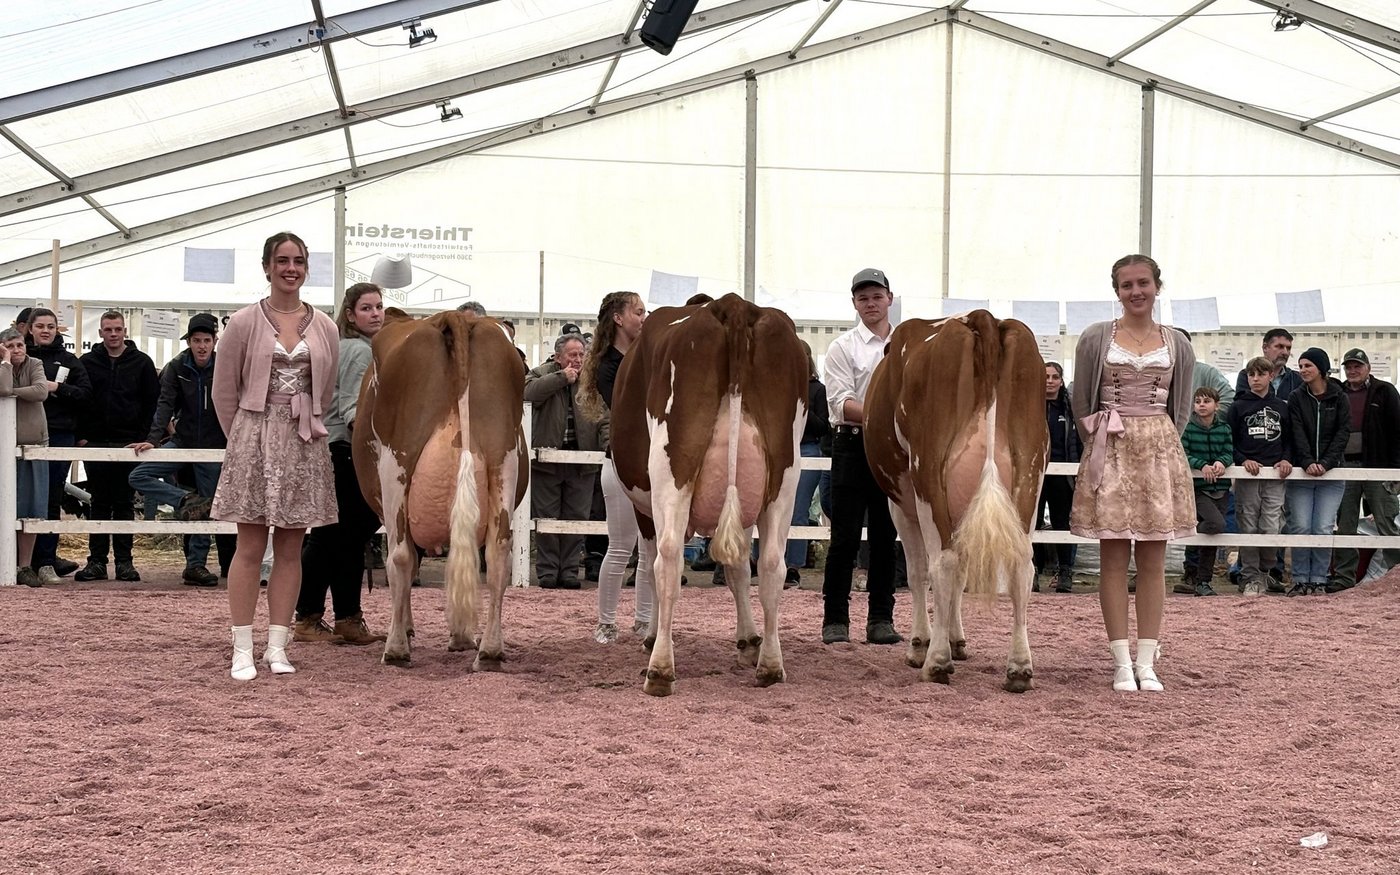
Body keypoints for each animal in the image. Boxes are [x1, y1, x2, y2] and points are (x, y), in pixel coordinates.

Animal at [352, 311, 528, 669]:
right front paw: (460, 637)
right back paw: (489, 650)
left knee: (400, 557)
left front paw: (407, 630)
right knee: (497, 554)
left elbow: (410, 563)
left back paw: (395, 649)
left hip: (396, 466)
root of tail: (456, 316)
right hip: (503, 461)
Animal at [611, 293, 808, 697]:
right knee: (771, 565)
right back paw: (770, 665)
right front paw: (748, 641)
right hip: (783, 475)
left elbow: (649, 569)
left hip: (672, 468)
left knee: (668, 559)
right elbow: (738, 569)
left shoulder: (644, 510)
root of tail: (731, 304)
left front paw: (651, 637)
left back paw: (660, 669)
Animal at [863, 309, 1048, 692]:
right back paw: (1019, 667)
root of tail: (981, 318)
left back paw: (935, 662)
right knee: (1021, 565)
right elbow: (964, 572)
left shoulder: (902, 505)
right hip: (1031, 476)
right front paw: (956, 639)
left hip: (927, 475)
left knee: (943, 563)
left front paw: (923, 644)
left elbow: (919, 572)